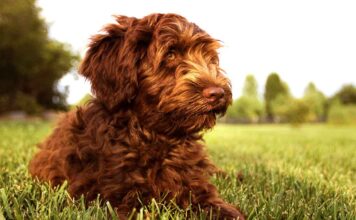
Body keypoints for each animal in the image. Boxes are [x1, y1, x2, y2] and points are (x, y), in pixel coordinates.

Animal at [29, 13, 245, 218]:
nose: (218, 93)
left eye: (209, 57)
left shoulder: (195, 185)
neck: (155, 135)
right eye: (171, 54)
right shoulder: (114, 196)